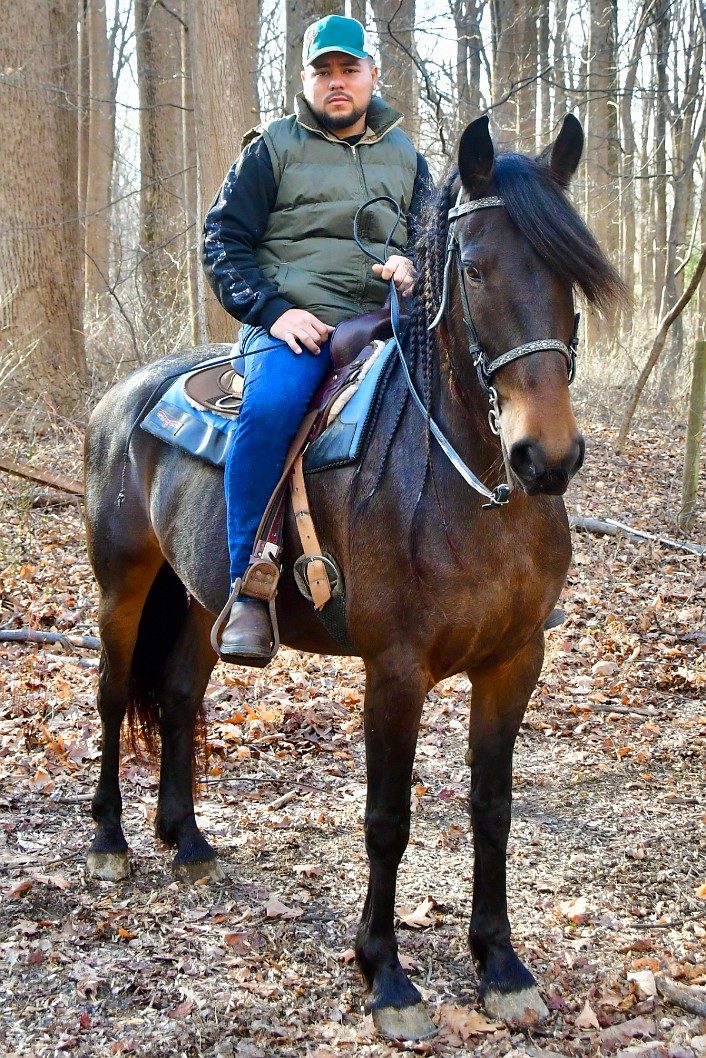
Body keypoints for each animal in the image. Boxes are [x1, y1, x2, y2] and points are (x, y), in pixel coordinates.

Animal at [84, 117, 622, 1041]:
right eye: (473, 269)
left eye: (572, 273)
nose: (545, 457)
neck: (467, 485)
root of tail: (120, 400)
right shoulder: (394, 671)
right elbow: (387, 820)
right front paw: (387, 976)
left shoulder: (515, 662)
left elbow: (492, 809)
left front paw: (501, 965)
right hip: (123, 586)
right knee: (116, 694)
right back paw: (112, 841)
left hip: (199, 598)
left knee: (181, 695)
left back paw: (186, 839)